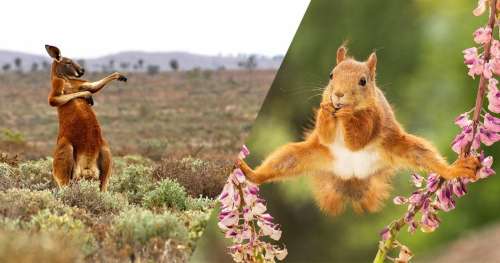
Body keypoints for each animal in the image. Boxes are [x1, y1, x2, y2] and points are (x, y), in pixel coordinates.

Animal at [238, 46, 480, 216]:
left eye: (363, 81)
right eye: (331, 75)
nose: (338, 95)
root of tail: (352, 175)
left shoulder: (374, 119)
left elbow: (358, 140)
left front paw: (346, 116)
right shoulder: (325, 134)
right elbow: (325, 134)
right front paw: (327, 110)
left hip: (400, 147)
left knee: (427, 157)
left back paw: (456, 169)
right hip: (305, 154)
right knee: (279, 164)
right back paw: (249, 171)